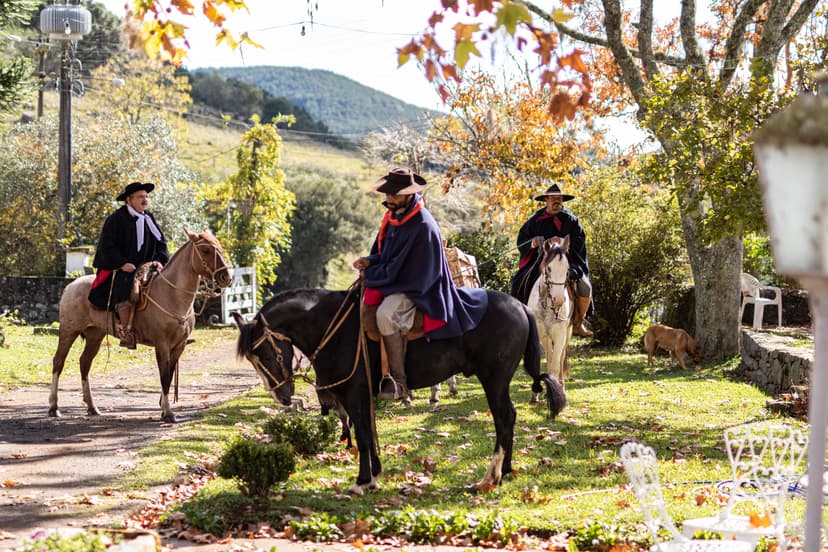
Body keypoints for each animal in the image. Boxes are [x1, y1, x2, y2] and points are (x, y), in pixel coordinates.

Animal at [49, 229, 233, 422]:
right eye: (205, 250)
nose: (226, 278)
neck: (171, 295)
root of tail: (71, 285)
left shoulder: (179, 346)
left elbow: (168, 376)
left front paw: (164, 409)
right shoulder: (162, 345)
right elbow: (164, 376)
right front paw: (168, 412)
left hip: (95, 335)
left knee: (85, 363)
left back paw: (92, 407)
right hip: (69, 331)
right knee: (58, 362)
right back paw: (54, 407)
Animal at [528, 233, 572, 396]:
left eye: (567, 269)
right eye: (549, 268)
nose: (558, 300)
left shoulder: (560, 334)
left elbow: (555, 364)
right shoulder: (542, 335)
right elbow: (547, 359)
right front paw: (535, 394)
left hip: (568, 333)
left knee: (561, 357)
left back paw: (561, 385)